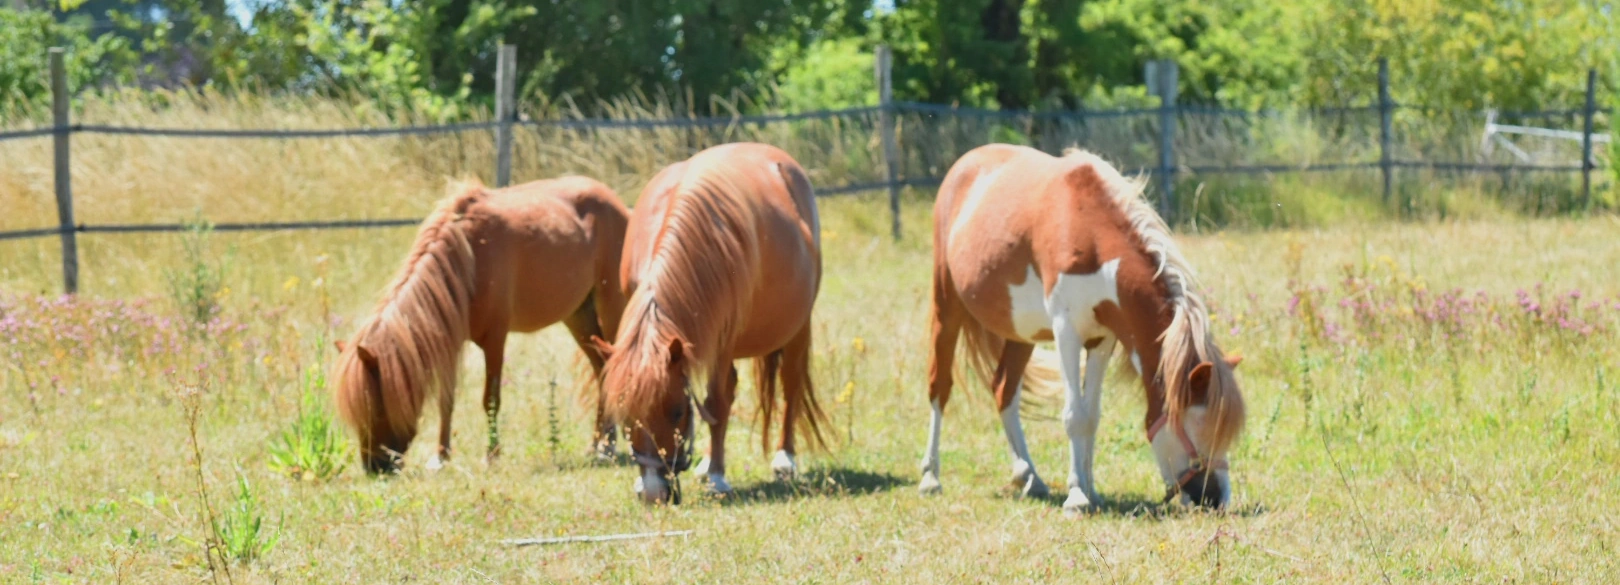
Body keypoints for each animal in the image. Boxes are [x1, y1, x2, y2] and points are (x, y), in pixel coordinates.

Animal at [332, 175, 628, 473]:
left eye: (378, 406)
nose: (374, 467)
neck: (468, 256)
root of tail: (616, 202)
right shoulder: (449, 342)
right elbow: (446, 400)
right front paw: (441, 456)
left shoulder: (495, 338)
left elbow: (491, 399)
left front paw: (492, 455)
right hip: (579, 316)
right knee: (601, 369)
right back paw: (600, 445)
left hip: (611, 310)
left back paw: (609, 447)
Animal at [592, 140, 822, 502]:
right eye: (625, 415)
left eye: (676, 411)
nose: (654, 493)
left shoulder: (722, 339)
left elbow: (716, 403)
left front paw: (717, 477)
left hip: (798, 328)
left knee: (791, 383)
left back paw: (784, 459)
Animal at [920, 143, 1244, 508]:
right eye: (1195, 425)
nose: (1215, 499)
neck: (1090, 235)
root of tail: (965, 163)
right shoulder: (1067, 333)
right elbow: (1074, 415)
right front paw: (1076, 496)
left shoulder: (1102, 340)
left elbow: (1091, 417)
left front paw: (1091, 489)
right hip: (946, 306)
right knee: (939, 386)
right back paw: (930, 477)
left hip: (1022, 333)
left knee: (1004, 389)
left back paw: (1029, 477)